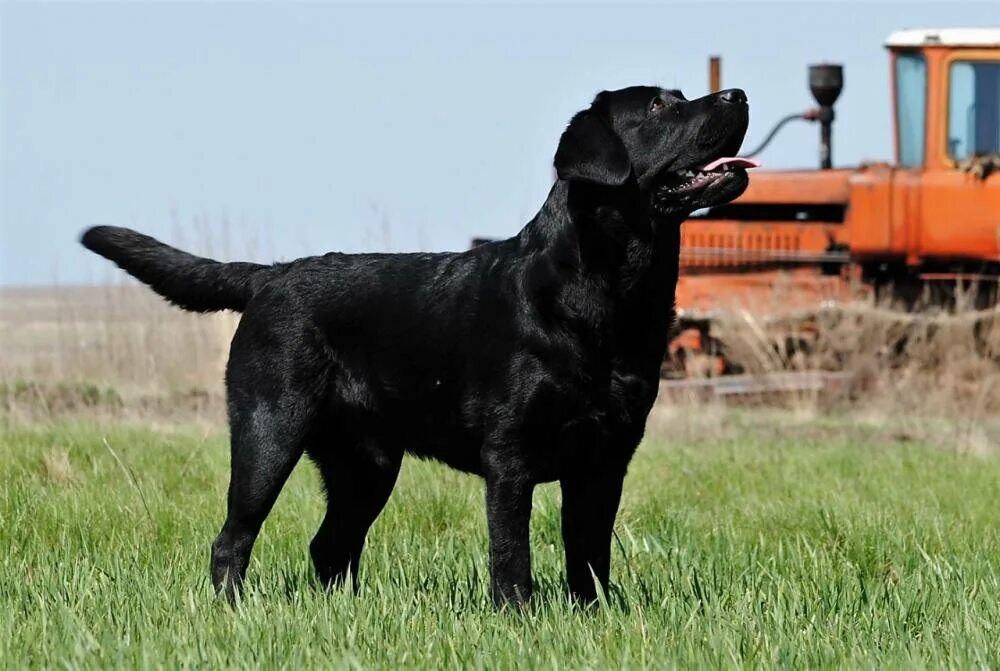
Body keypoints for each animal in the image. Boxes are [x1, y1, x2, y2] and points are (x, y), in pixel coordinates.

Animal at [82, 85, 752, 608]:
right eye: (662, 105)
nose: (738, 95)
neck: (607, 292)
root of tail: (268, 275)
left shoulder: (606, 457)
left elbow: (588, 554)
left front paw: (593, 616)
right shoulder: (510, 455)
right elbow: (511, 554)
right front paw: (520, 618)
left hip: (368, 462)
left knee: (330, 546)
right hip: (269, 431)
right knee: (233, 538)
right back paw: (233, 610)